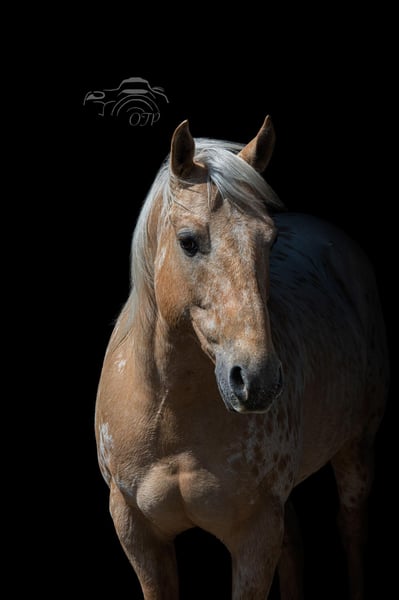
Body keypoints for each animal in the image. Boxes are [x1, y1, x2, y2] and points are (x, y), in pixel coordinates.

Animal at [95, 115, 390, 596]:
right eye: (188, 241)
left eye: (270, 241)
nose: (257, 380)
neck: (171, 416)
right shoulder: (137, 533)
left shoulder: (254, 536)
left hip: (356, 452)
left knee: (352, 533)